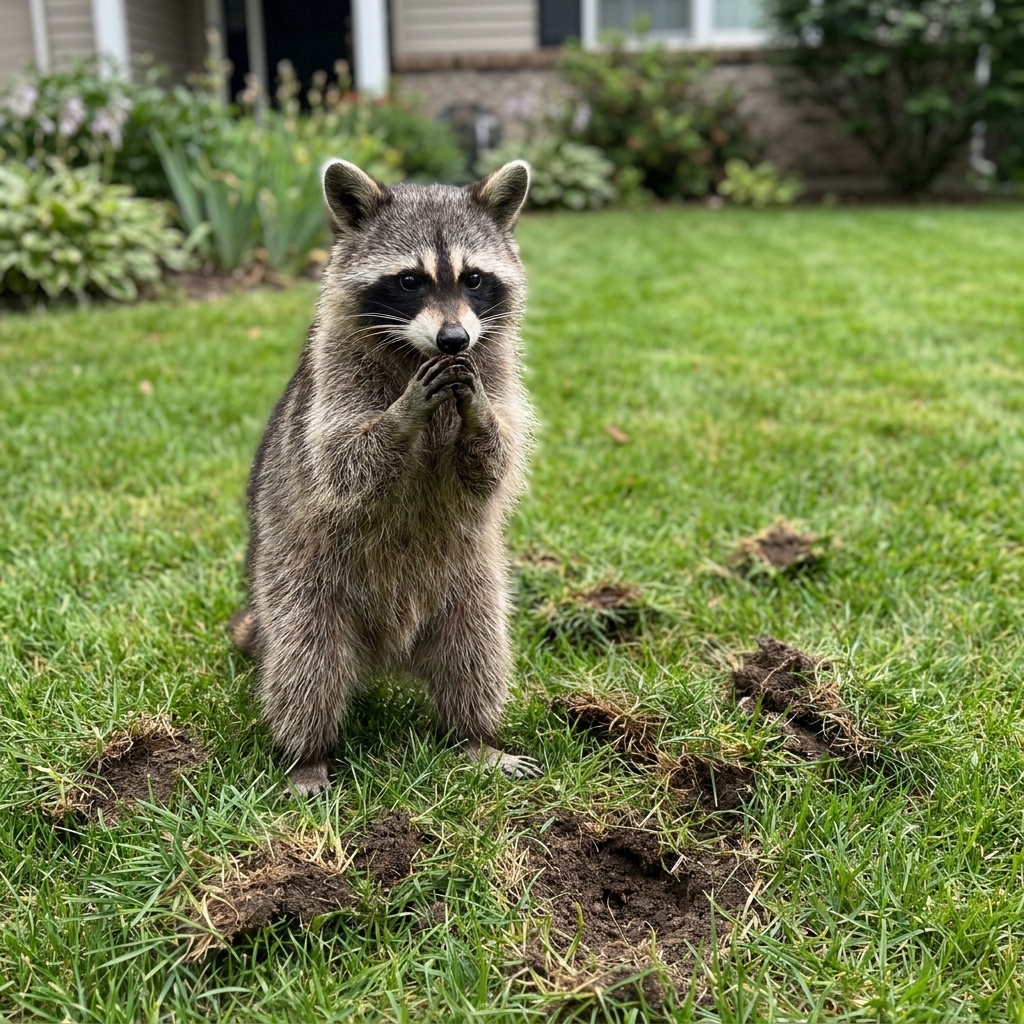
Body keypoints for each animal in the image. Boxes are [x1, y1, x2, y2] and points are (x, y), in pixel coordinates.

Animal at [230, 159, 539, 795]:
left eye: (474, 279)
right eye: (409, 281)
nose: (454, 339)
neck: (416, 351)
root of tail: (386, 652)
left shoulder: (496, 370)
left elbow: (494, 462)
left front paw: (477, 417)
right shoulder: (333, 377)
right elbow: (342, 461)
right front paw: (401, 415)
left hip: (472, 583)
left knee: (477, 652)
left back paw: (473, 734)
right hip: (297, 581)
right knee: (306, 665)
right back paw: (307, 752)